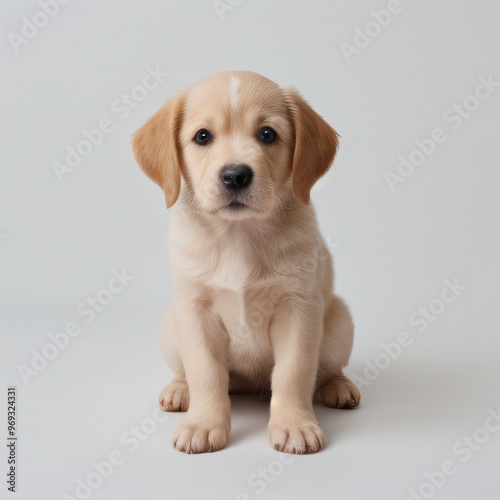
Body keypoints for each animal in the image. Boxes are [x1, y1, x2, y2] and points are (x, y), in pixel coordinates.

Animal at [133, 71, 360, 458]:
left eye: (267, 134)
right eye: (203, 136)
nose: (236, 175)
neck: (238, 236)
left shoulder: (298, 309)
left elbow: (294, 372)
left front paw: (295, 425)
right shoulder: (195, 311)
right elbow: (206, 372)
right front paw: (203, 424)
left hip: (340, 322)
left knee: (325, 369)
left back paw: (338, 386)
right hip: (170, 326)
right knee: (191, 373)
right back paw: (179, 390)